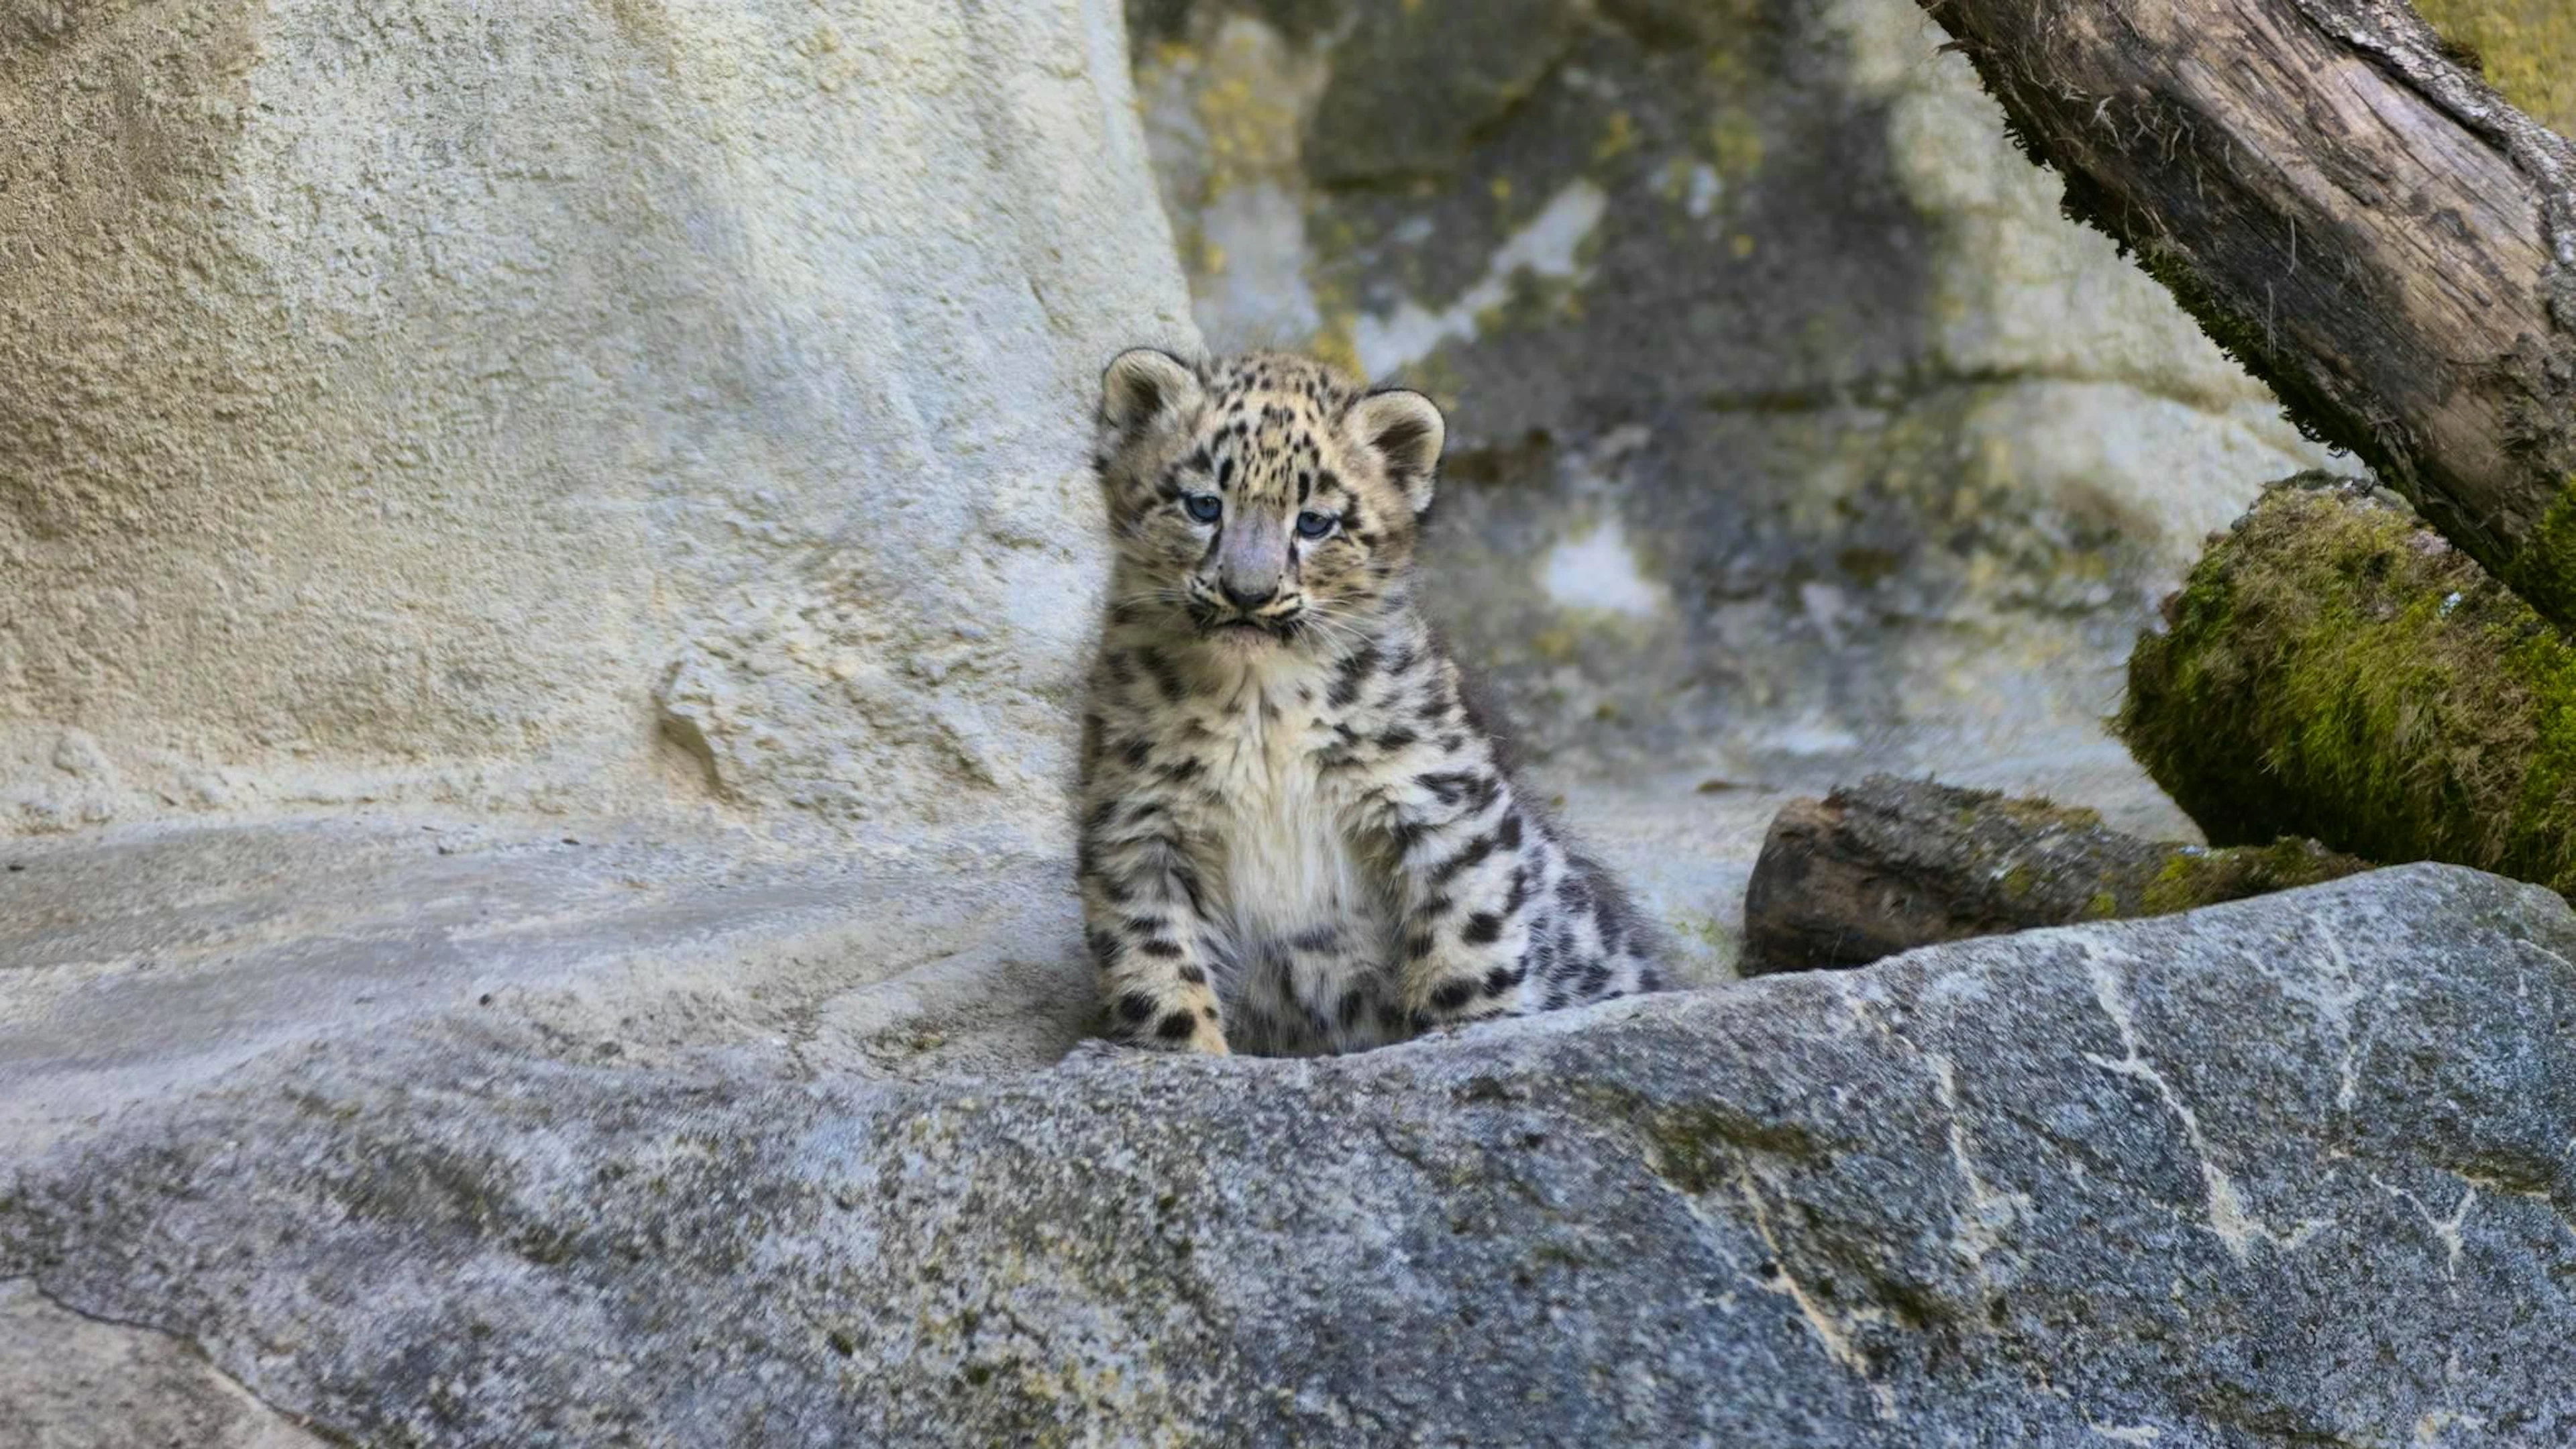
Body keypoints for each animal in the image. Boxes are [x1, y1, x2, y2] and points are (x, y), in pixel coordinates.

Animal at [1076, 347, 1665, 1056]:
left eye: (1314, 521)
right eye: (1203, 505)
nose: (1247, 592)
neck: (1260, 706)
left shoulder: (1436, 800)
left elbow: (1467, 935)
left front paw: (1470, 1035)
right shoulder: (1141, 830)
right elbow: (1158, 966)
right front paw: (1189, 1055)